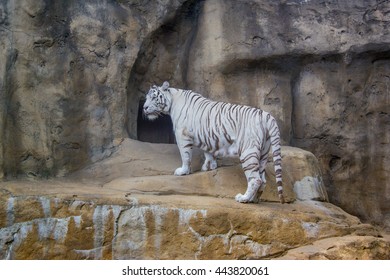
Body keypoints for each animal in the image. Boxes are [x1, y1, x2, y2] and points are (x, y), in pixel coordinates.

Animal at [142, 81, 284, 203]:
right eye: (147, 98)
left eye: (154, 98)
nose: (144, 108)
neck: (172, 100)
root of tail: (266, 115)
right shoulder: (206, 136)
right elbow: (208, 152)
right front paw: (209, 167)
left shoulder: (182, 135)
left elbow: (185, 155)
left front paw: (183, 171)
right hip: (264, 151)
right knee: (263, 179)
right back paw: (253, 199)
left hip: (248, 151)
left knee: (255, 179)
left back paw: (243, 198)